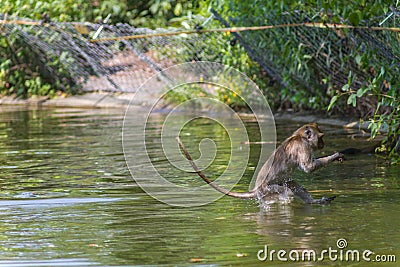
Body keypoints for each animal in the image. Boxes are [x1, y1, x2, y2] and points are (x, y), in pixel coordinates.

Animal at [177, 123, 344, 205]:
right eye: (320, 137)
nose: (323, 144)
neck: (299, 137)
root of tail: (256, 189)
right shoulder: (303, 146)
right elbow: (308, 168)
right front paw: (335, 156)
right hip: (268, 190)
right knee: (287, 192)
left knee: (292, 185)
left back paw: (313, 202)